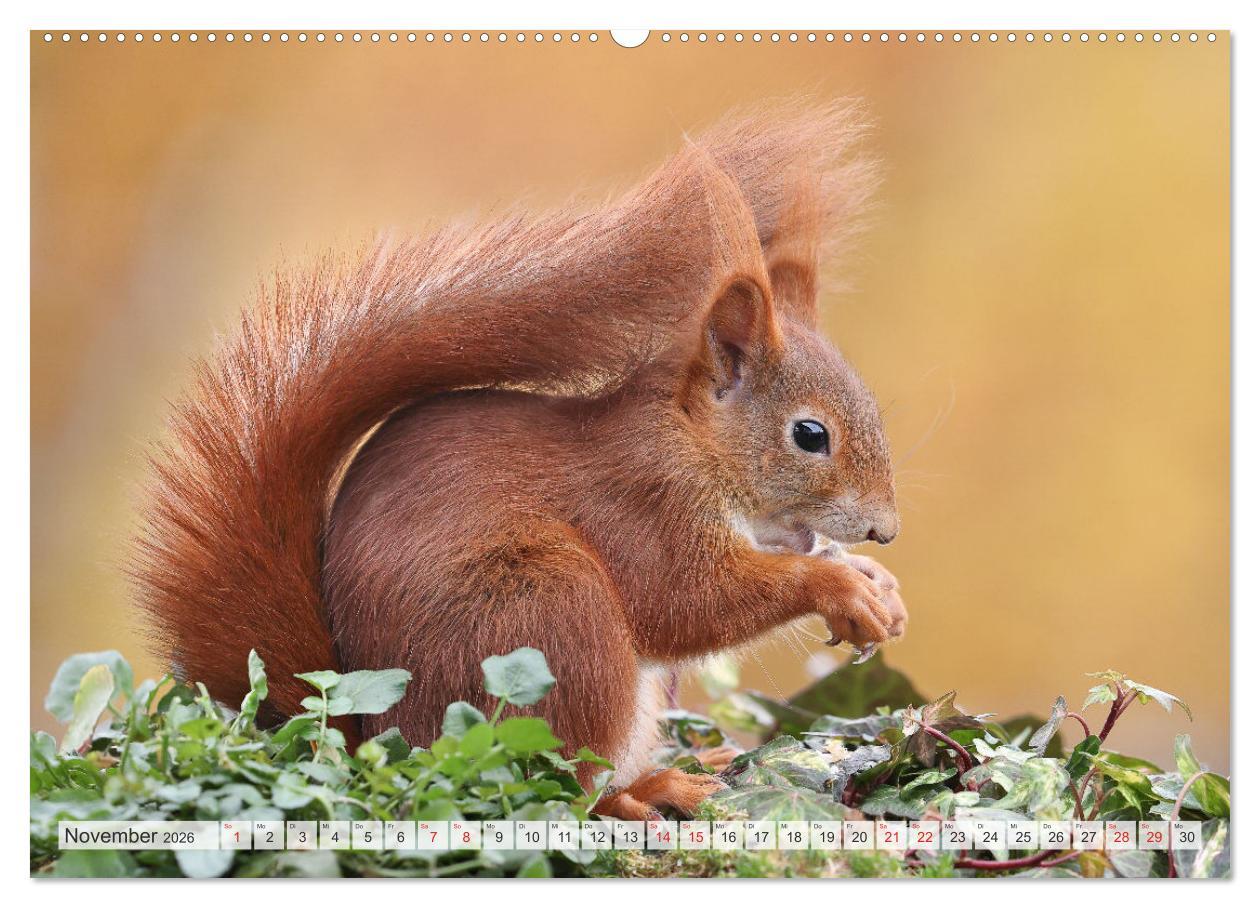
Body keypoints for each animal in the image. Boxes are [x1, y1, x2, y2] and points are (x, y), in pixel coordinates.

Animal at [133, 102, 907, 820]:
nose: (886, 530)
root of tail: (382, 740)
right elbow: (691, 603)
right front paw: (839, 587)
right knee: (561, 786)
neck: (693, 442)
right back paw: (644, 791)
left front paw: (875, 583)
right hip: (552, 618)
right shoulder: (644, 502)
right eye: (810, 434)